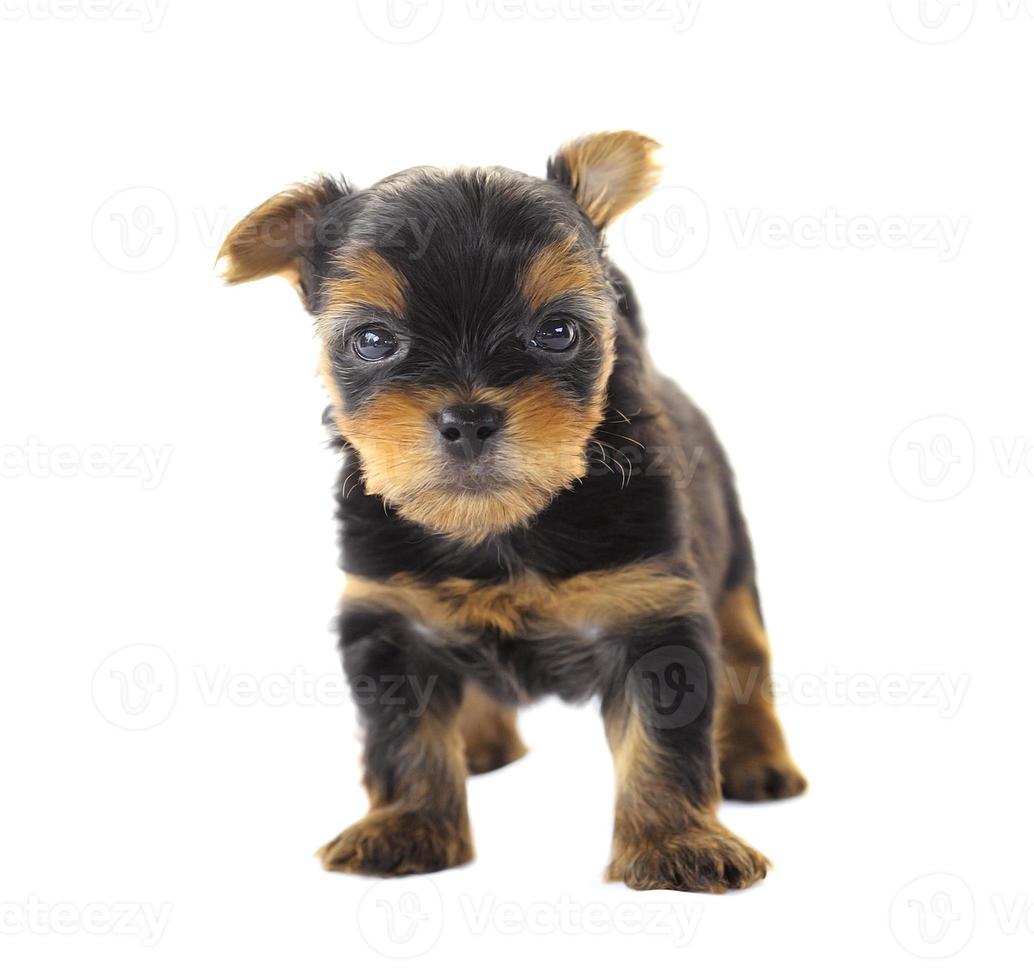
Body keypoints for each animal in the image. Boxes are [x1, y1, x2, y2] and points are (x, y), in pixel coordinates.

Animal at [218, 134, 802, 893]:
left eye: (557, 331)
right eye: (373, 340)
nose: (468, 418)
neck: (496, 529)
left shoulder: (650, 607)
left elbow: (662, 736)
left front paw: (676, 843)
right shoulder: (393, 616)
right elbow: (405, 738)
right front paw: (404, 827)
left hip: (729, 553)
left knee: (747, 648)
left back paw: (759, 761)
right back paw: (479, 744)